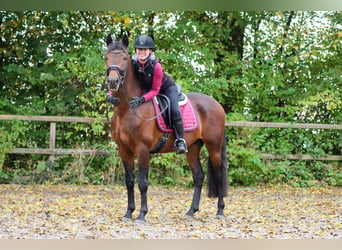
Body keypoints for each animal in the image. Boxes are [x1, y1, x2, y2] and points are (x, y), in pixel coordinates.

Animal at [104, 33, 227, 223]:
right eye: (106, 57)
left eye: (124, 58)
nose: (112, 81)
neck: (128, 110)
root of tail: (217, 105)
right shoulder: (124, 150)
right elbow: (130, 181)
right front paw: (128, 213)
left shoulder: (142, 149)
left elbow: (143, 183)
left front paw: (141, 214)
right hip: (193, 147)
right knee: (198, 176)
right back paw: (191, 212)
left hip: (214, 147)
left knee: (219, 174)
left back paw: (220, 211)